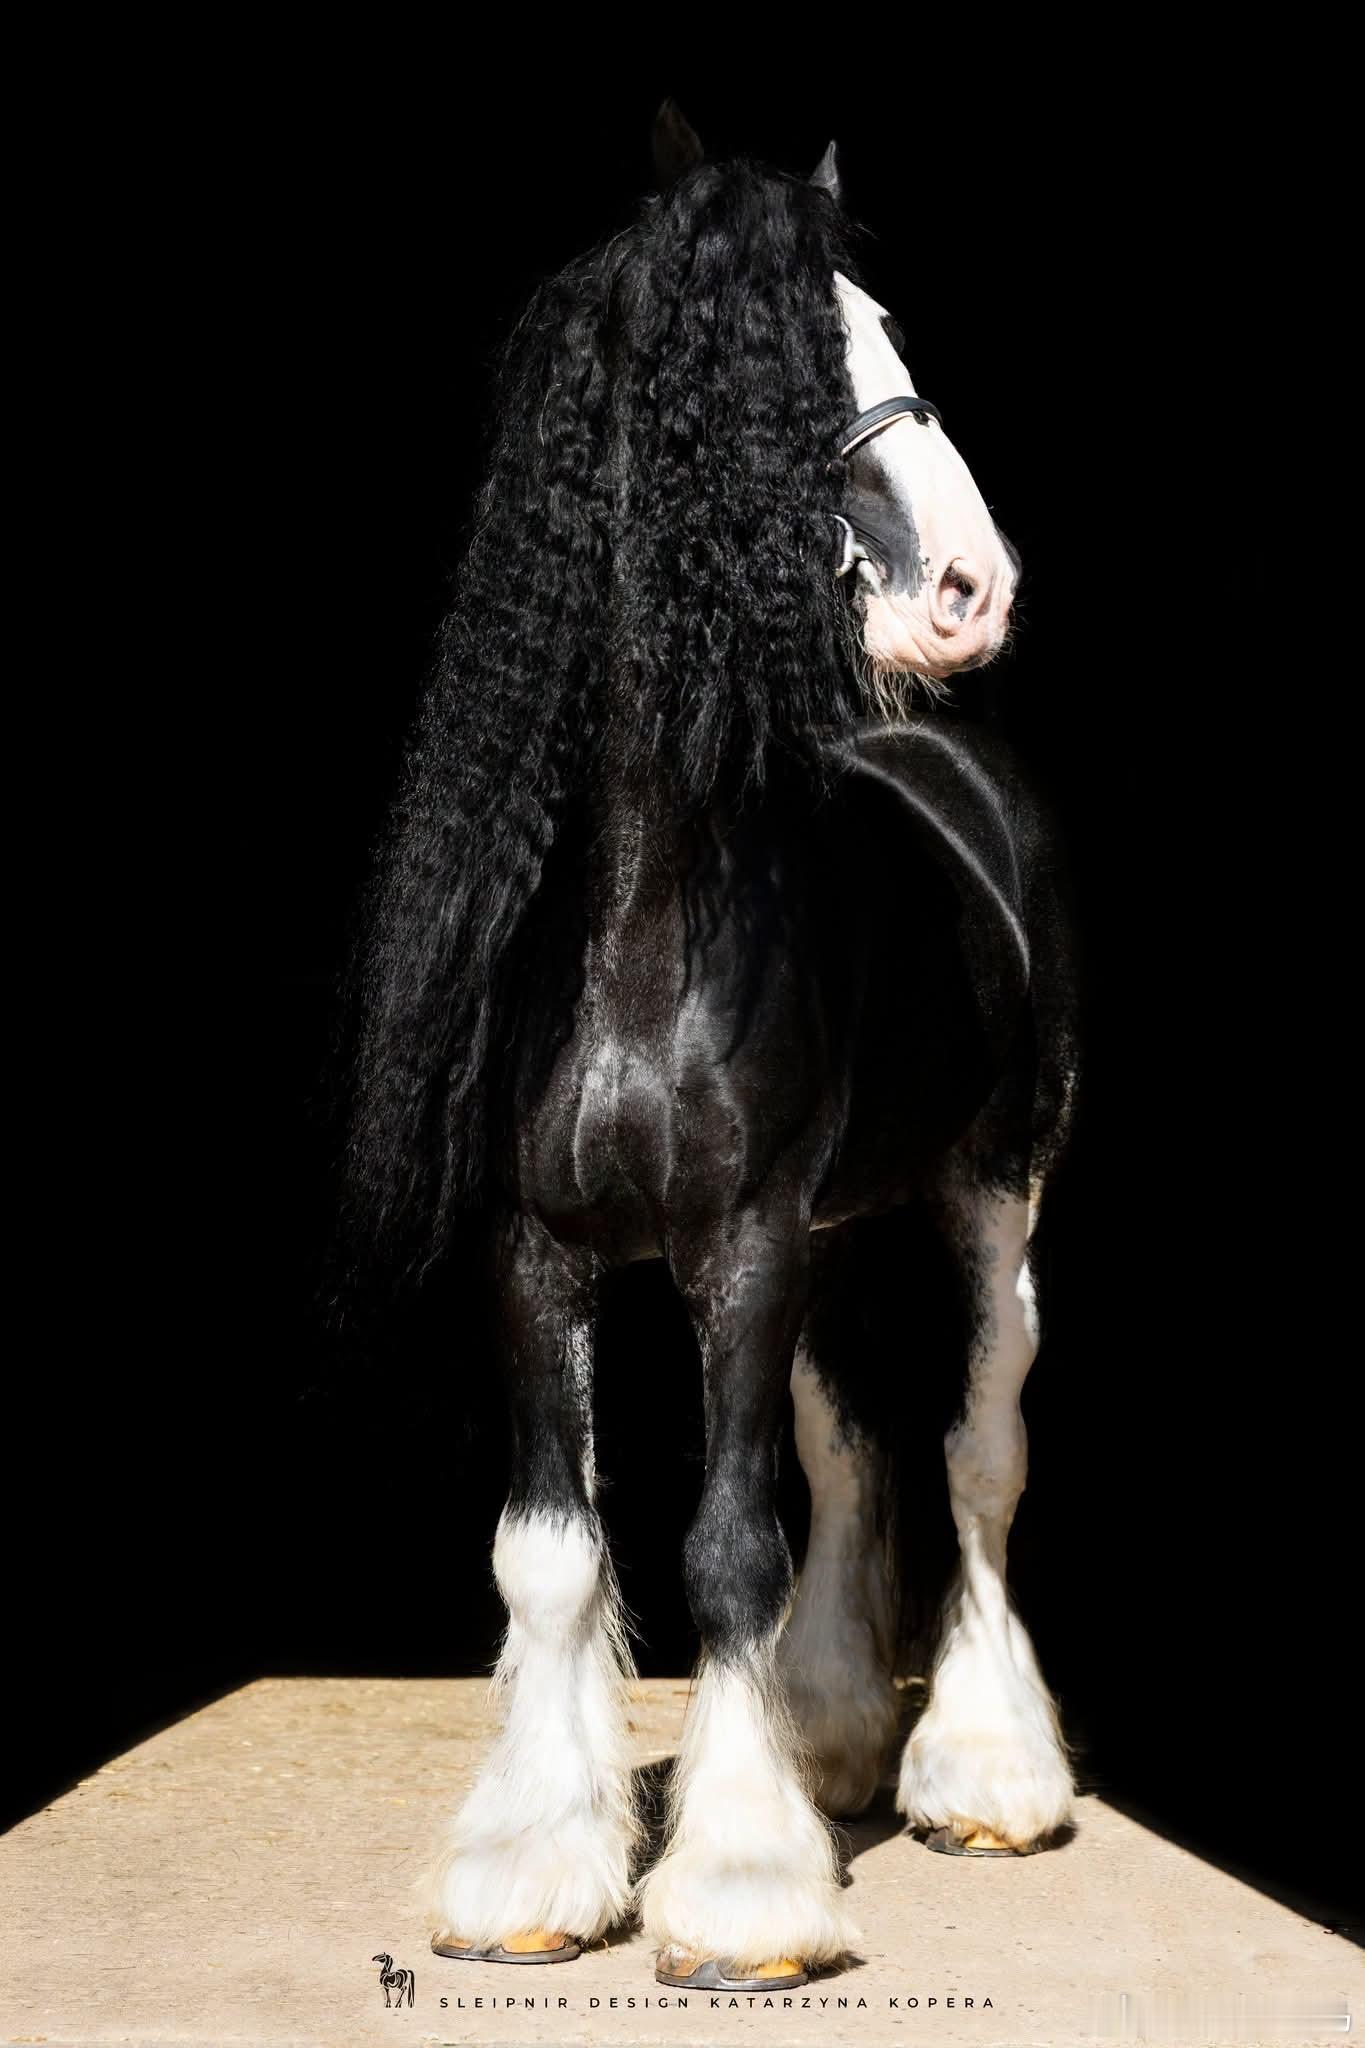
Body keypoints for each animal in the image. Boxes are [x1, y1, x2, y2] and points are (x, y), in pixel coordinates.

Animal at [347, 105, 1078, 1993]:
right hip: (832, 1232)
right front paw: (536, 1871)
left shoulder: (740, 1244)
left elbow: (729, 1542)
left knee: (976, 1451)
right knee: (848, 1448)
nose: (973, 589)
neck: (635, 912)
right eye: (780, 356)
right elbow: (554, 1555)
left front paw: (742, 1895)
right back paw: (829, 1739)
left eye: (886, 323)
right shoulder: (540, 1256)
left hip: (992, 1193)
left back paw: (982, 1775)